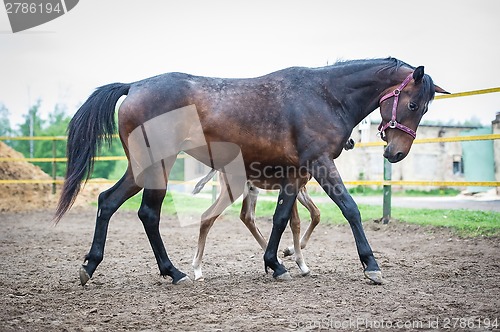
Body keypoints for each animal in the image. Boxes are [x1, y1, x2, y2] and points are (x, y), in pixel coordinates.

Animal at [54, 57, 450, 286]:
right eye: (412, 104)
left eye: (424, 109)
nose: (396, 153)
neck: (324, 95)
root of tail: (134, 86)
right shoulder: (321, 162)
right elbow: (349, 209)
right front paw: (370, 265)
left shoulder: (294, 173)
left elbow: (281, 218)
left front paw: (276, 263)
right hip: (157, 167)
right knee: (148, 214)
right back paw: (175, 272)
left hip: (142, 169)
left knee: (107, 202)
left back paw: (91, 266)